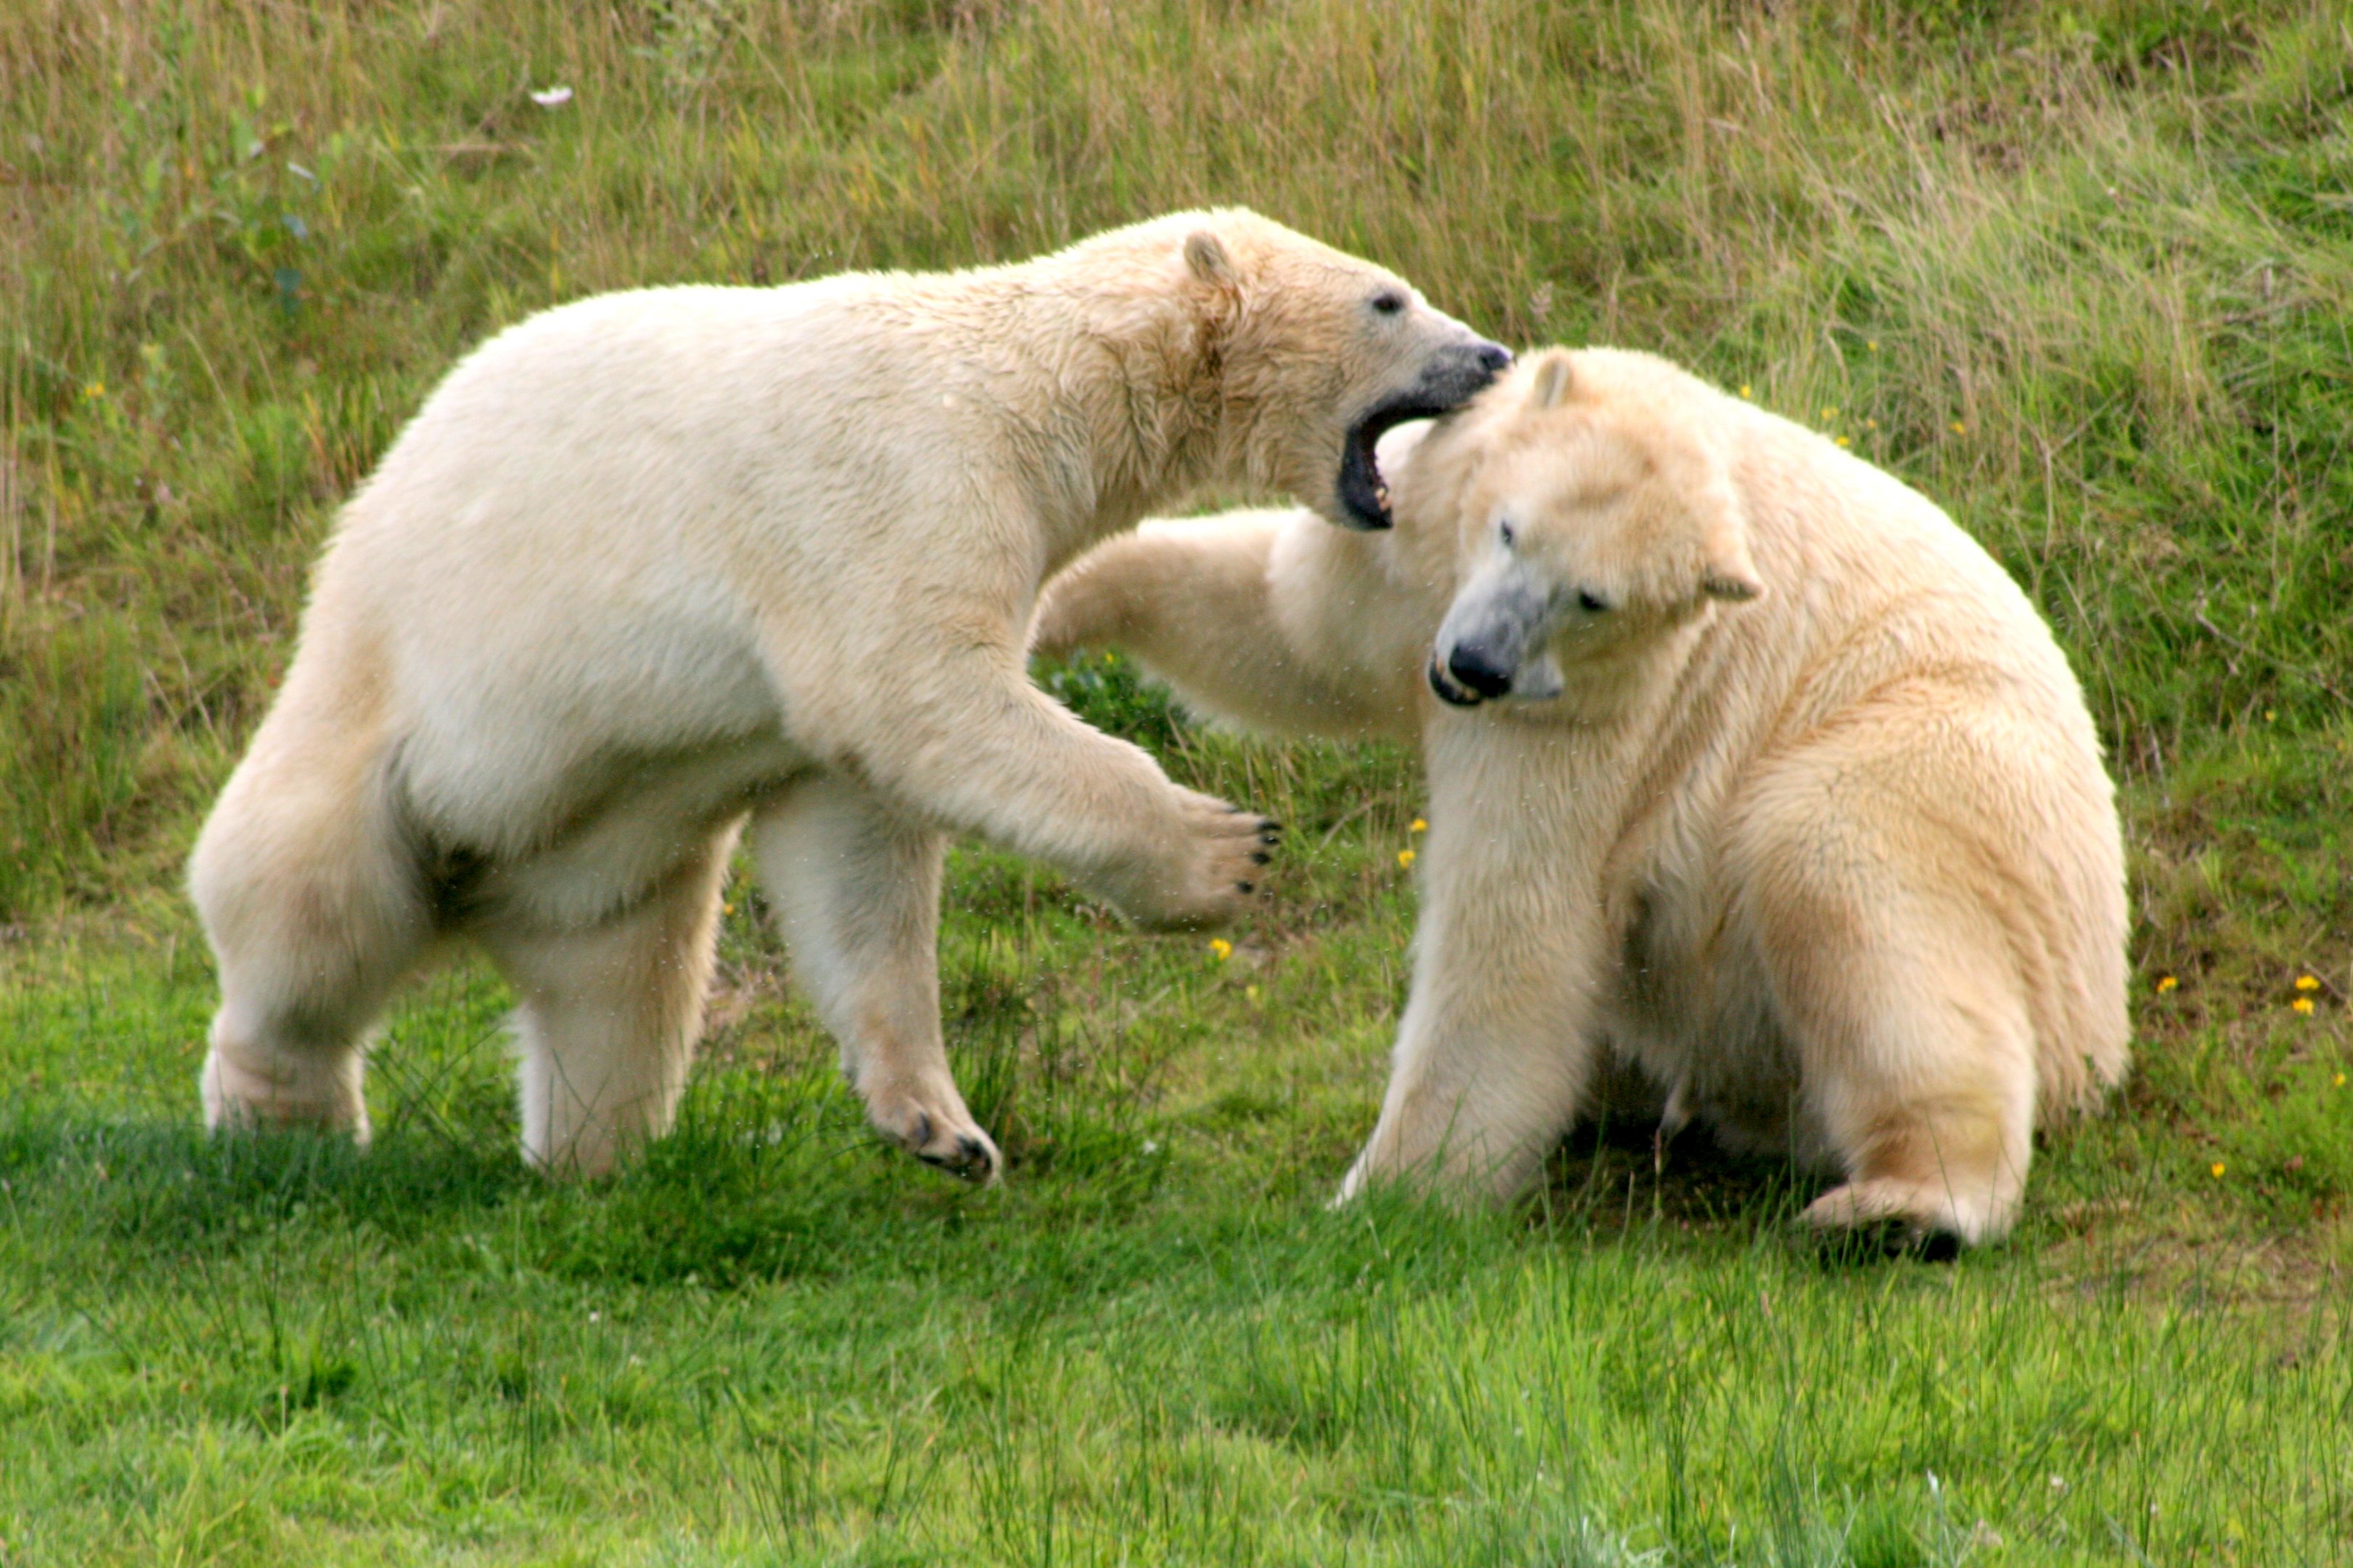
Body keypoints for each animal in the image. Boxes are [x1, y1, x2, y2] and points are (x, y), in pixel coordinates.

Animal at [190, 209, 1511, 1181]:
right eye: (1388, 299)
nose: (1493, 355)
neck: (1030, 387)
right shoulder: (900, 492)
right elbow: (919, 696)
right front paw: (1223, 855)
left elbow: (856, 846)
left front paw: (942, 1127)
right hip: (391, 712)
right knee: (306, 910)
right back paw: (285, 1121)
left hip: (603, 871)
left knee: (620, 998)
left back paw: (590, 1160)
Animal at [1033, 346, 2129, 1246]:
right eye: (1510, 531)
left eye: (1592, 598)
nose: (1473, 666)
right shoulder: (1419, 555)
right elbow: (1287, 627)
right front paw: (1059, 604)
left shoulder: (1608, 712)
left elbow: (1514, 936)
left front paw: (1382, 1201)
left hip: (1943, 771)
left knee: (1847, 882)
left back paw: (1901, 1209)